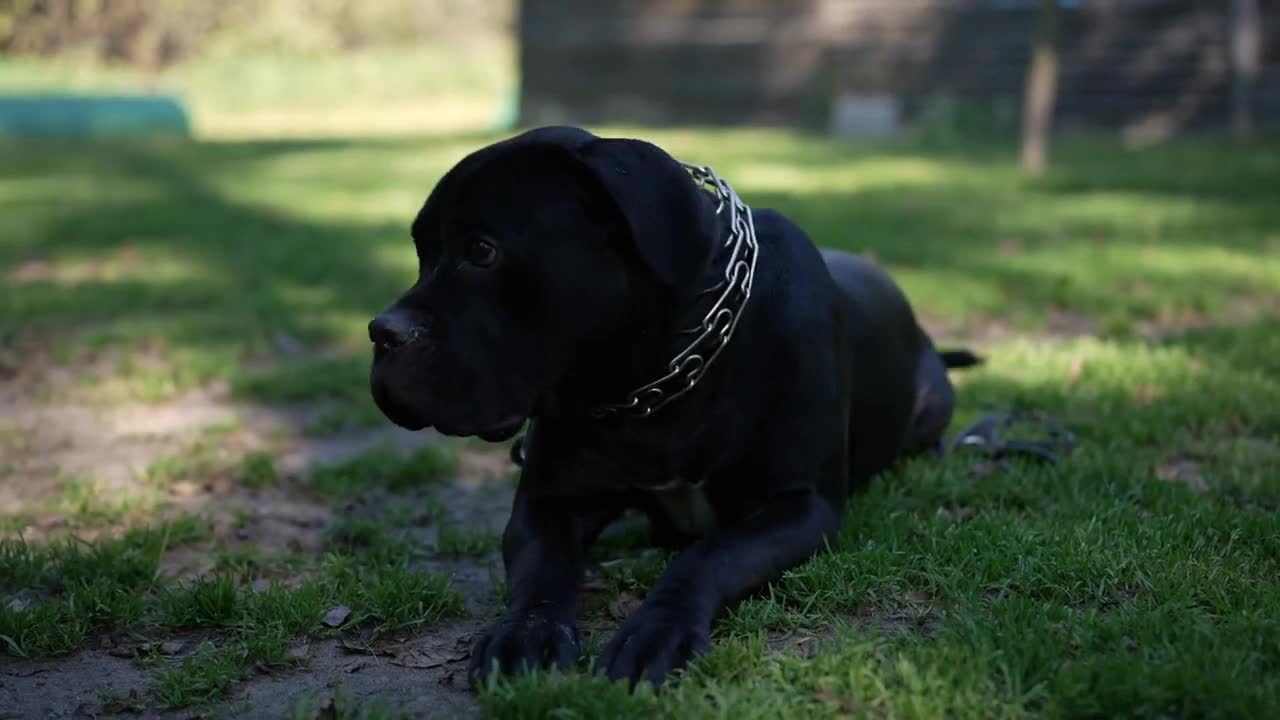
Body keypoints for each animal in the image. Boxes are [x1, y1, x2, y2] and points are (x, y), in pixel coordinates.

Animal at [373, 126, 977, 686]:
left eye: (481, 251)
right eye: (422, 252)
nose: (382, 332)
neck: (662, 382)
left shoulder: (801, 505)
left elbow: (708, 554)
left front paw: (656, 631)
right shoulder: (549, 503)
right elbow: (543, 574)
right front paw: (524, 634)